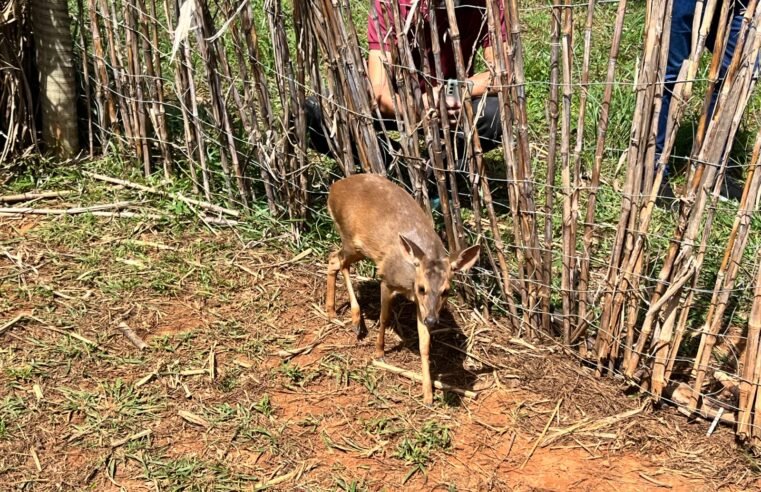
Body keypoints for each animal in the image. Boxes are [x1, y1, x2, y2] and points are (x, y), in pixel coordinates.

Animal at [324, 173, 478, 404]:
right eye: (422, 288)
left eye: (446, 291)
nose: (433, 320)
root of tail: (334, 188)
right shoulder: (387, 279)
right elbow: (384, 317)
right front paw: (379, 352)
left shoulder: (422, 306)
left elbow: (424, 344)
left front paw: (428, 394)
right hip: (351, 239)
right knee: (337, 260)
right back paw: (351, 319)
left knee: (336, 260)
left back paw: (335, 312)